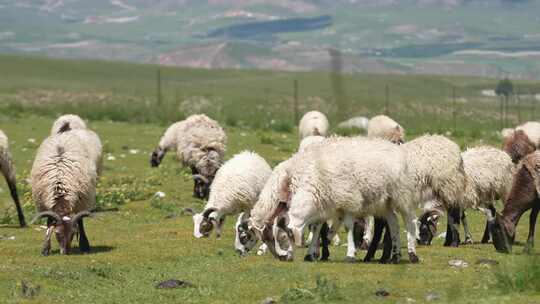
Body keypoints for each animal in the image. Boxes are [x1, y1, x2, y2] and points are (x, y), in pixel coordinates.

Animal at [29, 126, 101, 256]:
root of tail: (63, 133)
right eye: (57, 233)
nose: (65, 252)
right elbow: (49, 224)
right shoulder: (47, 205)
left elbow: (80, 223)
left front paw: (84, 245)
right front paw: (45, 249)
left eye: (73, 233)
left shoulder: (79, 203)